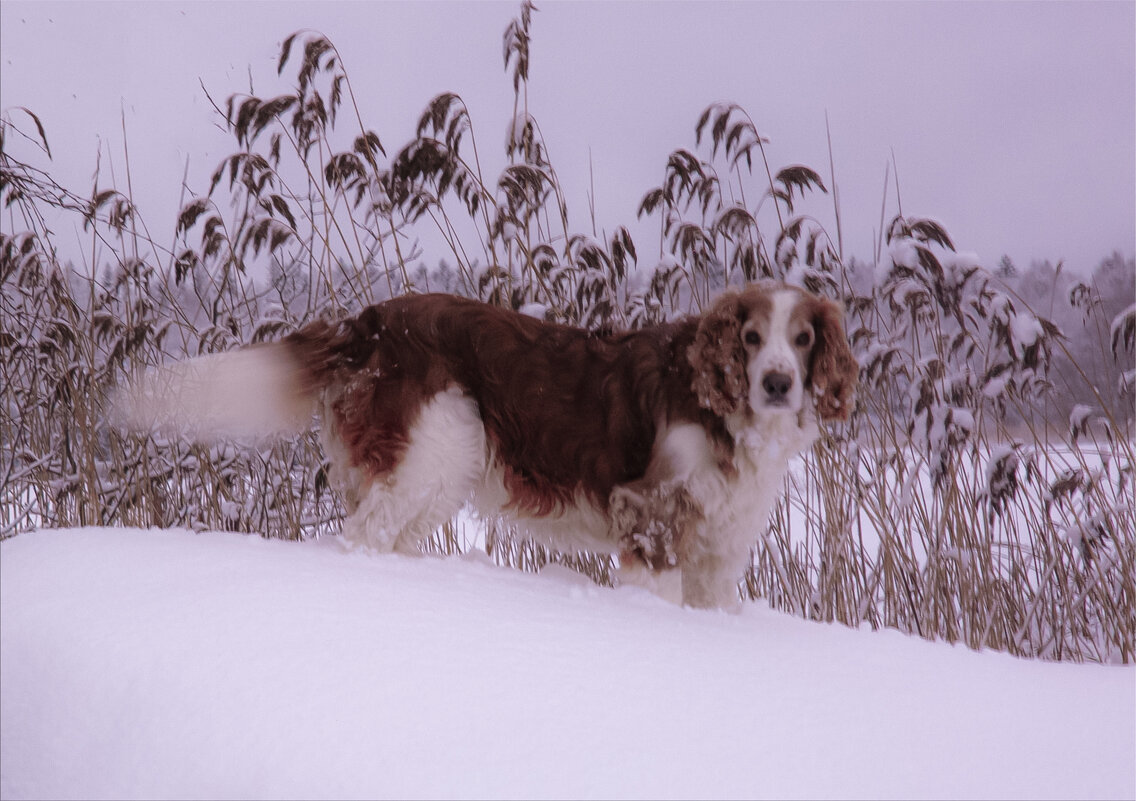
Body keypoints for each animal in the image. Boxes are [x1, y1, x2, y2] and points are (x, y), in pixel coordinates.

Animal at [119, 281, 854, 604]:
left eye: (803, 339)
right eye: (750, 338)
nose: (780, 383)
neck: (723, 411)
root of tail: (368, 323)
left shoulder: (721, 545)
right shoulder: (651, 514)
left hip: (440, 464)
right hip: (437, 447)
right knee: (364, 535)